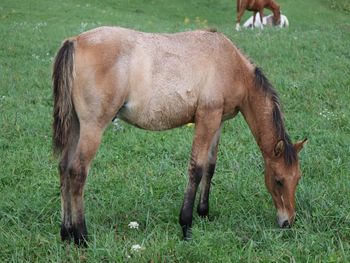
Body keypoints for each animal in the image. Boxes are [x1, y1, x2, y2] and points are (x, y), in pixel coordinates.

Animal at [52, 25, 306, 246]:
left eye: (297, 178)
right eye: (278, 180)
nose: (287, 222)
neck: (231, 64)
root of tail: (76, 41)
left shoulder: (218, 122)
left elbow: (210, 167)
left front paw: (204, 213)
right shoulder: (207, 118)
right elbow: (197, 168)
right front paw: (186, 226)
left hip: (76, 125)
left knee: (64, 168)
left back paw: (66, 233)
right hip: (93, 127)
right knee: (77, 172)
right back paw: (81, 236)